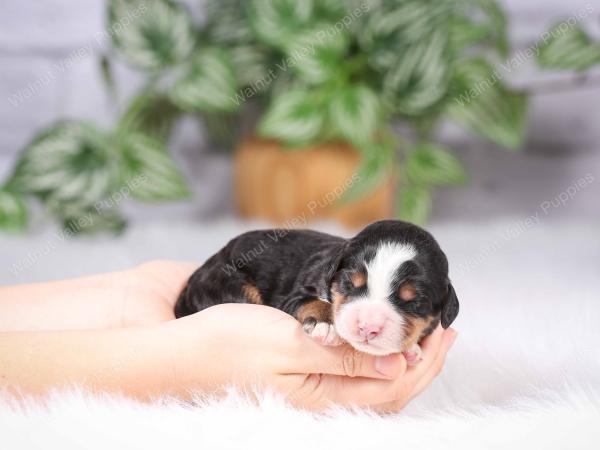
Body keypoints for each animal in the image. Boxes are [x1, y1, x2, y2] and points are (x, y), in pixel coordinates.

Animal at [175, 220, 460, 364]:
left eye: (414, 302)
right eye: (349, 284)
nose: (367, 327)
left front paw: (412, 349)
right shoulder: (297, 291)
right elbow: (311, 301)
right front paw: (327, 324)